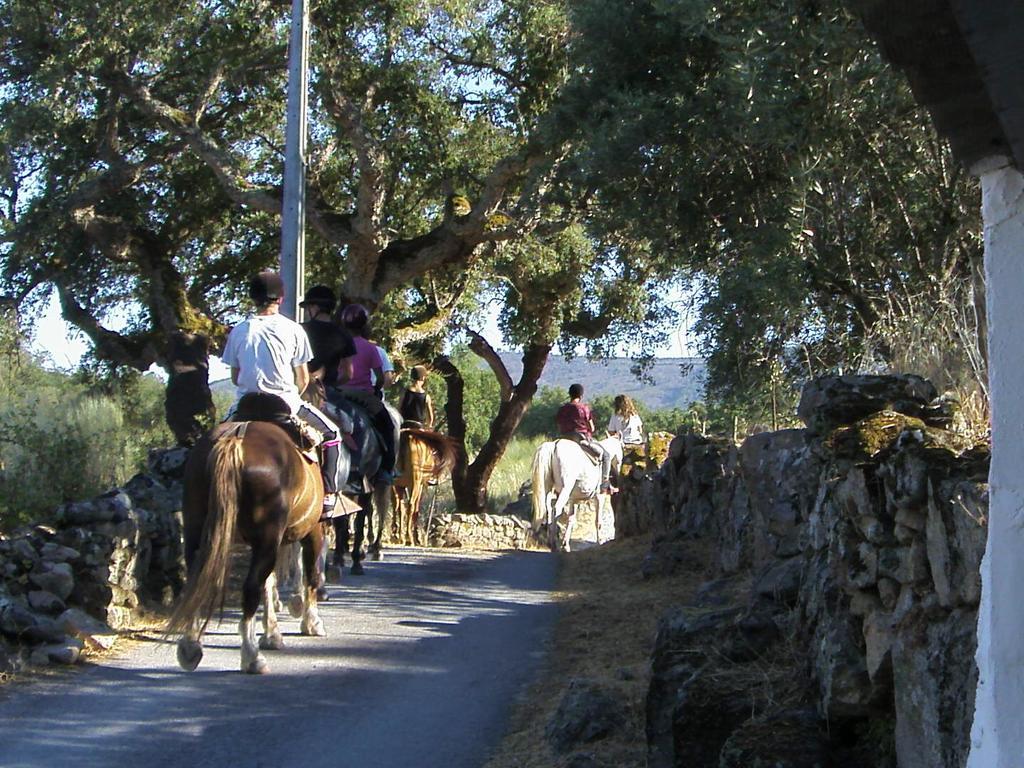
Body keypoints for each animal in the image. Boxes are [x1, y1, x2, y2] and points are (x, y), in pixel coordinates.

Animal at [167, 397, 325, 671]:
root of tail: (235, 439)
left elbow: (270, 583)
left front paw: (272, 633)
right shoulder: (312, 530)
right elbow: (310, 576)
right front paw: (311, 622)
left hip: (200, 530)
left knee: (197, 579)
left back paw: (189, 648)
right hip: (269, 539)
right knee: (250, 589)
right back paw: (252, 657)